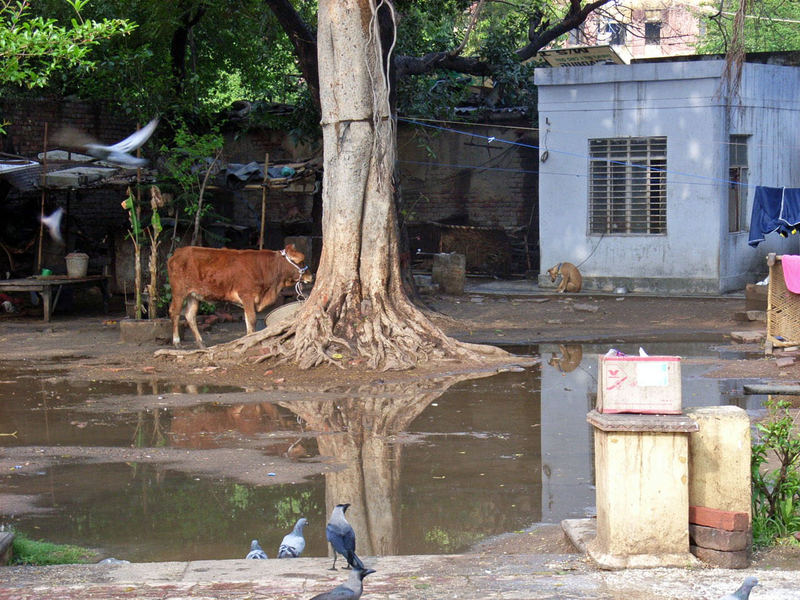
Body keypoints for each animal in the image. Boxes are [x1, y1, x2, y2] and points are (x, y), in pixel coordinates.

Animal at [168, 243, 312, 346]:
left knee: (190, 315)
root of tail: (178, 252)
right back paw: (176, 341)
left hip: (193, 295)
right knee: (175, 312)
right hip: (179, 292)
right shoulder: (247, 295)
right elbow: (252, 320)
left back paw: (201, 343)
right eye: (300, 261)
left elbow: (248, 320)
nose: (311, 276)